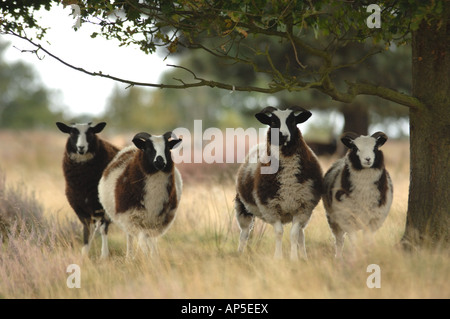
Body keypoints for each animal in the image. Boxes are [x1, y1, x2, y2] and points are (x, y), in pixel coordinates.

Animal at [55, 121, 119, 258]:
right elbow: (87, 229)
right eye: (72, 133)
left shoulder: (102, 206)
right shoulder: (79, 206)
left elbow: (103, 229)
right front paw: (84, 254)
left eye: (90, 133)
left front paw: (104, 255)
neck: (83, 180)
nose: (81, 147)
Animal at [236, 106, 324, 262]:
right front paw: (278, 258)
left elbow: (294, 234)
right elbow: (278, 233)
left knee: (301, 234)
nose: (283, 135)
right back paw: (240, 253)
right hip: (243, 207)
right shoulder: (271, 208)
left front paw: (294, 258)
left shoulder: (303, 208)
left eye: (293, 121)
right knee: (244, 233)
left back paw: (304, 257)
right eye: (272, 121)